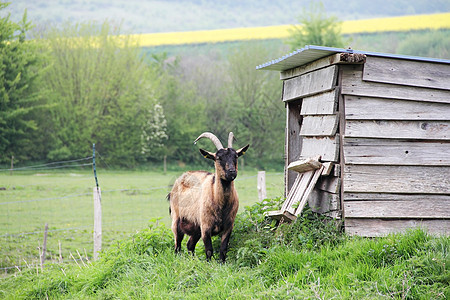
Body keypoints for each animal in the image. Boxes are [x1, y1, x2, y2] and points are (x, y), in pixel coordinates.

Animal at [169, 132, 248, 262]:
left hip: (195, 228)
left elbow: (223, 249)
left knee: (190, 245)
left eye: (236, 156)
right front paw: (209, 264)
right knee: (177, 245)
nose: (231, 172)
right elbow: (209, 250)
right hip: (177, 219)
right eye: (218, 158)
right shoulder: (205, 226)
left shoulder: (228, 226)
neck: (220, 203)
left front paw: (221, 263)